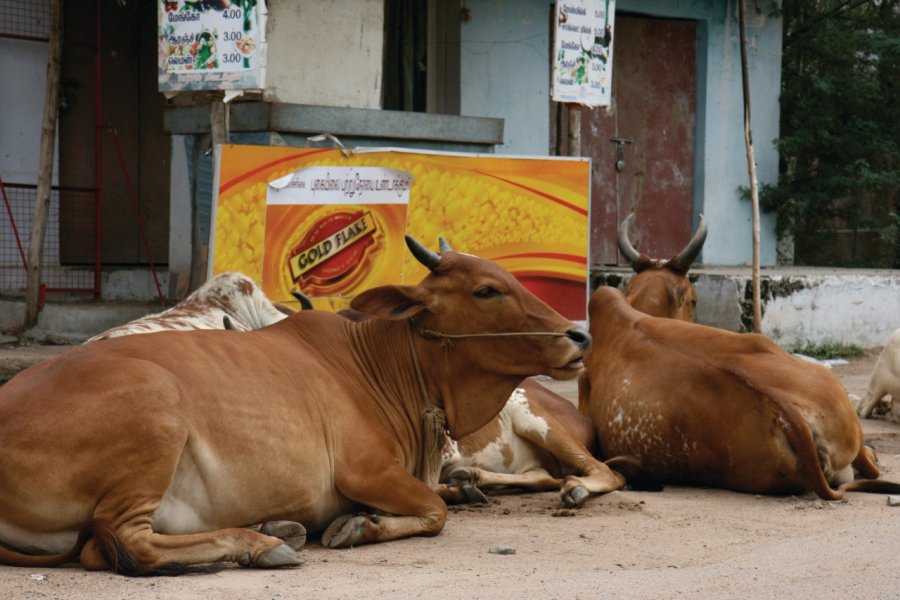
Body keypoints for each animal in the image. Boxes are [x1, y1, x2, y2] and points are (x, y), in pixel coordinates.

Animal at [0, 237, 592, 576]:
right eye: (487, 290)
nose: (580, 335)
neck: (381, 366)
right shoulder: (366, 471)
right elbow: (436, 510)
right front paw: (359, 527)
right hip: (156, 411)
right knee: (125, 544)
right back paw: (260, 545)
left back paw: (275, 530)